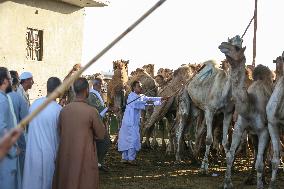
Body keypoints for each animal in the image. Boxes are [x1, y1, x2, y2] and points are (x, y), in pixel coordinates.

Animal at [219, 35, 274, 189]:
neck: (249, 107)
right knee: (256, 152)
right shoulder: (239, 128)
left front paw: (260, 185)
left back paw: (263, 179)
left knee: (265, 154)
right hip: (253, 134)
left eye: (237, 47)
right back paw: (250, 178)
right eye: (229, 41)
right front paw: (227, 183)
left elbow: (260, 163)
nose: (222, 44)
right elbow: (230, 156)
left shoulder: (264, 131)